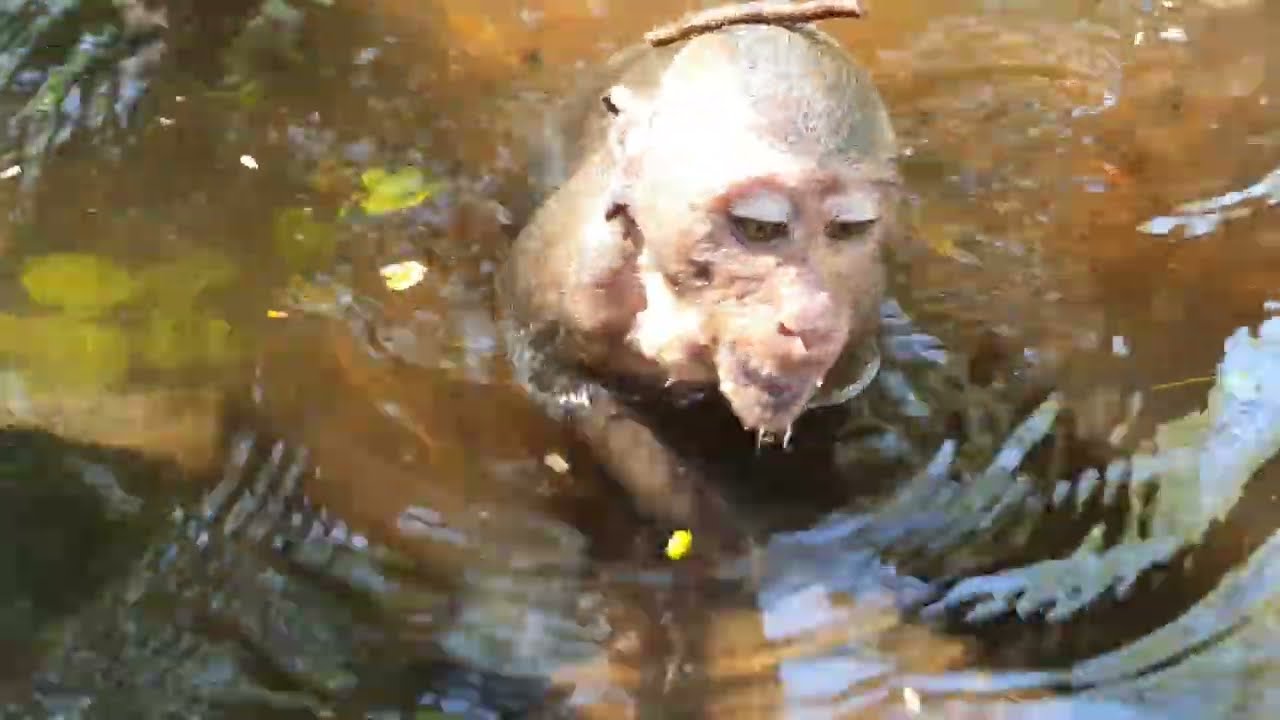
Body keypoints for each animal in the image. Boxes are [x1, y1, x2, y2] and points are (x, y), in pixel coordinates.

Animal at [495, 1, 904, 541]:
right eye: (759, 227)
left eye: (847, 230)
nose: (812, 321)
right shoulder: (562, 271)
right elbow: (557, 381)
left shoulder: (858, 324)